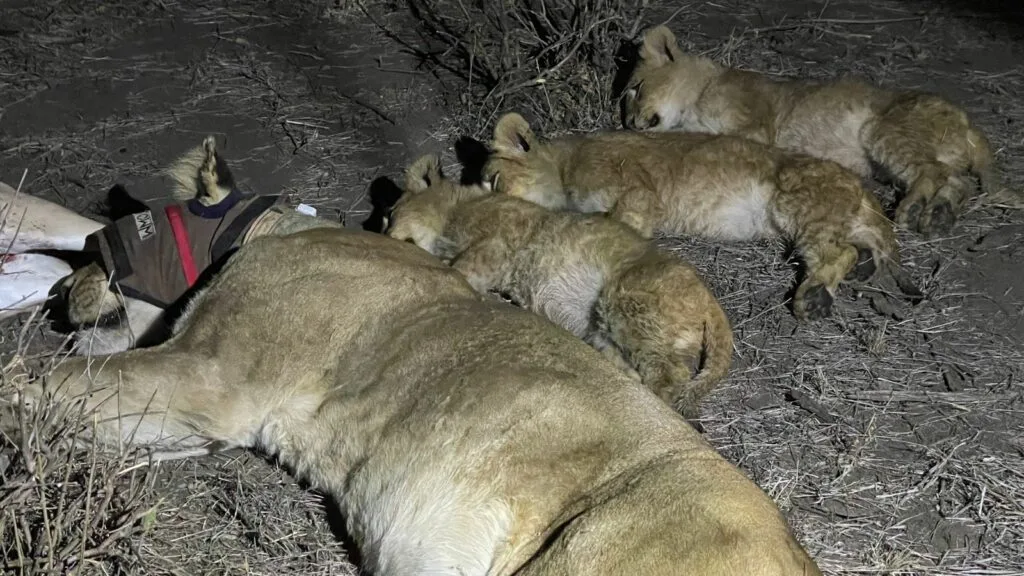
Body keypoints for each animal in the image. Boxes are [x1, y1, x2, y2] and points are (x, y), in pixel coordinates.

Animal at [385, 153, 734, 421]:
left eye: (389, 214)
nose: (382, 234)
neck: (456, 209)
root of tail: (712, 304)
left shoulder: (497, 245)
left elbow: (461, 269)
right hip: (603, 331)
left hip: (629, 302)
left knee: (670, 377)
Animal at [482, 111, 917, 322]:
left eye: (493, 180)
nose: (485, 208)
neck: (566, 162)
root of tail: (859, 185)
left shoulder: (638, 192)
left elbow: (619, 227)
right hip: (839, 217)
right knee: (861, 249)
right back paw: (860, 271)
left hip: (799, 203)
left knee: (838, 251)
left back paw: (814, 299)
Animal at [622, 25, 1009, 237]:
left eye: (635, 89)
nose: (629, 122)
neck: (703, 87)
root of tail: (968, 121)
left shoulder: (753, 126)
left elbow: (696, 134)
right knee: (957, 181)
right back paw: (938, 218)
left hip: (884, 129)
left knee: (933, 171)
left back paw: (913, 210)